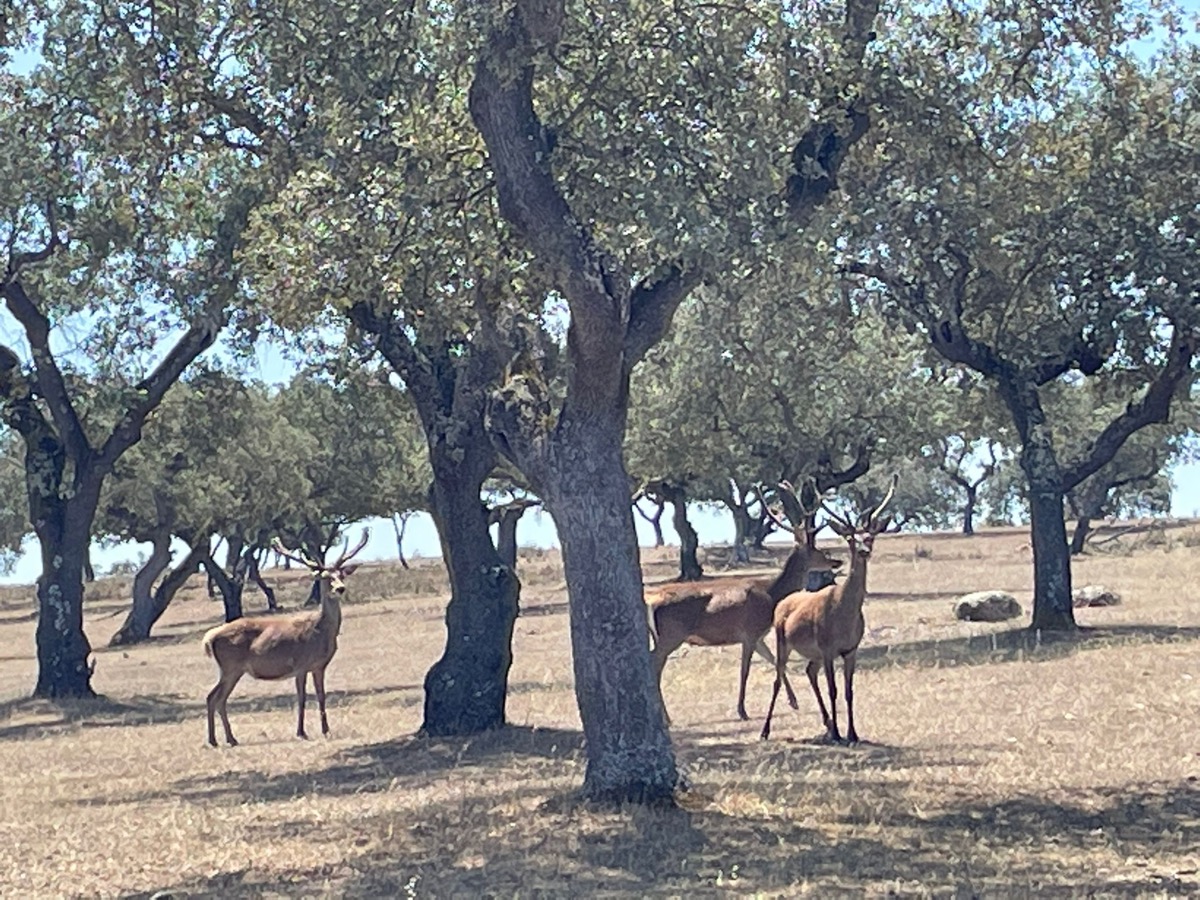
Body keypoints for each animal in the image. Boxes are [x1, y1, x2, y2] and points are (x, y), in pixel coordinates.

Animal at [202, 530, 368, 747]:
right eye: (325, 577)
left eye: (341, 575)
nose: (340, 588)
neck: (320, 632)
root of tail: (209, 638)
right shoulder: (300, 664)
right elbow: (302, 698)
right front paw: (301, 732)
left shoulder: (319, 666)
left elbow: (321, 696)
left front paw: (326, 730)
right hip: (231, 666)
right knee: (214, 697)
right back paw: (218, 740)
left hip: (230, 669)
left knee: (216, 698)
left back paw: (226, 739)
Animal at [646, 480, 843, 725]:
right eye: (819, 551)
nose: (837, 561)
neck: (772, 596)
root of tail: (651, 601)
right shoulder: (749, 632)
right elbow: (745, 670)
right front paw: (742, 710)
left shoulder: (759, 637)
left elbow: (774, 662)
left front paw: (793, 701)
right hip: (671, 634)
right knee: (654, 663)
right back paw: (666, 717)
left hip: (662, 635)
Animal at [760, 474, 897, 744]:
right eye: (850, 539)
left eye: (870, 537)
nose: (864, 551)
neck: (844, 617)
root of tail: (783, 601)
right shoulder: (827, 648)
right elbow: (833, 690)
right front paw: (838, 735)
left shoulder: (850, 649)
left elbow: (848, 691)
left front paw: (852, 733)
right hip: (783, 640)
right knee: (777, 679)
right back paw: (766, 731)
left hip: (812, 653)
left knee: (809, 671)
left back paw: (828, 723)